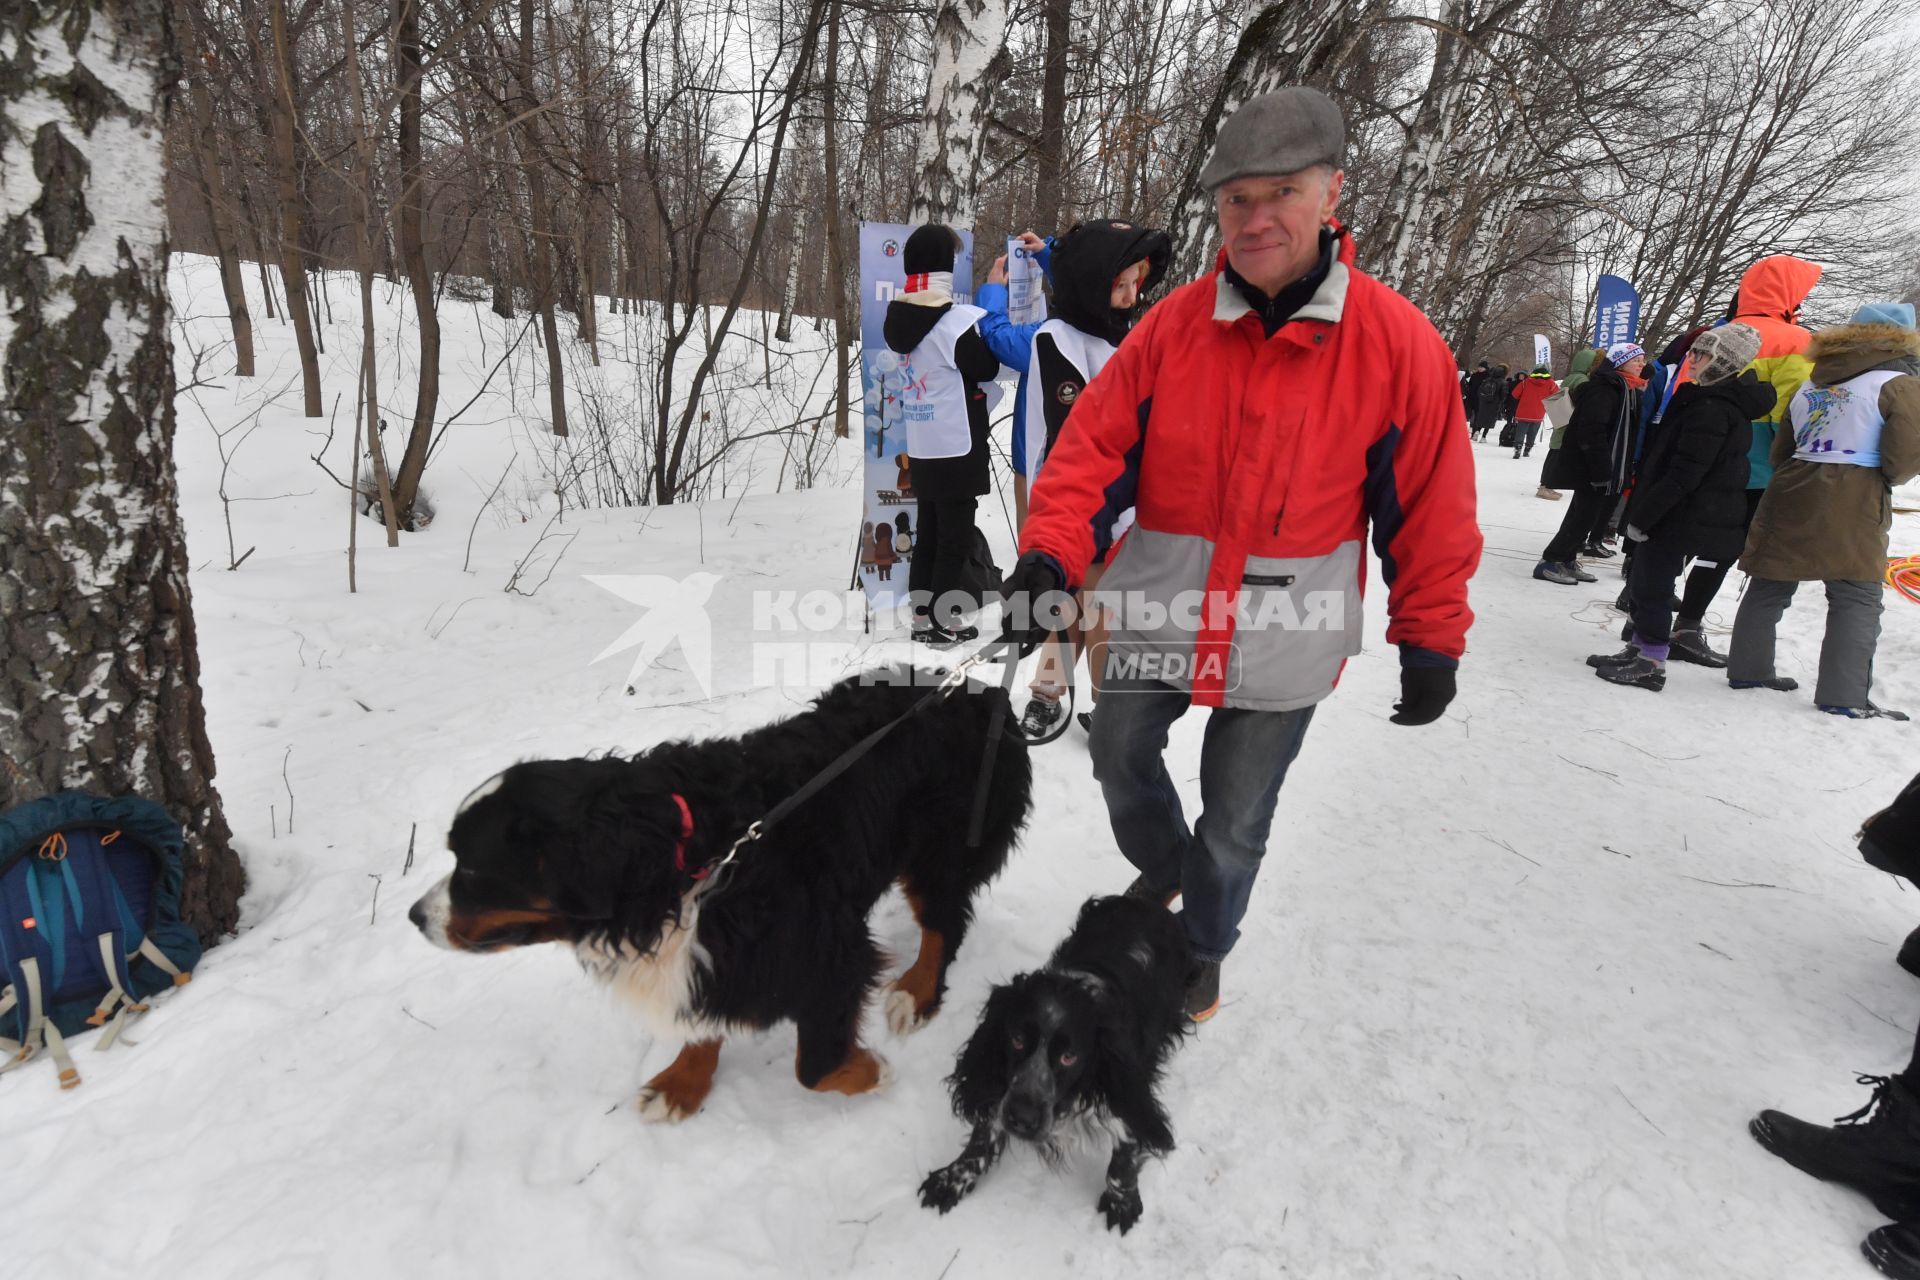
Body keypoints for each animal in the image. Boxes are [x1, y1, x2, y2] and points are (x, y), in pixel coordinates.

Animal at [408, 671, 1036, 1120]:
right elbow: (704, 1023)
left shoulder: (828, 954)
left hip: (942, 849)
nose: (415, 916)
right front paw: (683, 1083)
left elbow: (813, 1067)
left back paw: (915, 993)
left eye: (472, 868)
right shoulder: (715, 958)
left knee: (943, 924)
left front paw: (871, 1070)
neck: (690, 862)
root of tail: (985, 693)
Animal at [917, 898, 1198, 1235]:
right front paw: (952, 1179)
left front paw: (1122, 1202)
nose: (1021, 1120)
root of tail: (1147, 904)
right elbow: (982, 1136)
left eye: (1068, 1057)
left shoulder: (1128, 1077)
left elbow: (1127, 1141)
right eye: (1017, 1039)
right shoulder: (1004, 1087)